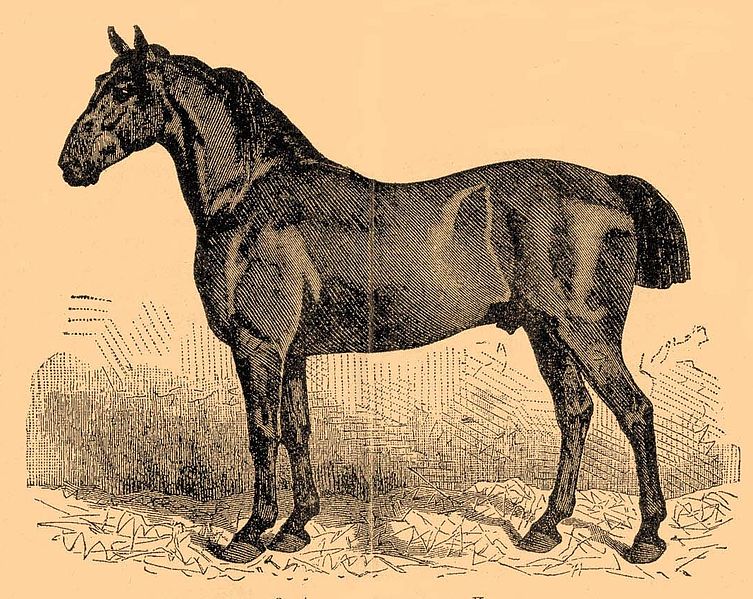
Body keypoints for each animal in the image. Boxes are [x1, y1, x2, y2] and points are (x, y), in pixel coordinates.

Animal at [58, 26, 690, 565]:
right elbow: (297, 429)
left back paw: (646, 538)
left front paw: (251, 533)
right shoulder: (290, 352)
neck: (250, 195)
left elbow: (263, 433)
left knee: (634, 412)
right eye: (98, 83)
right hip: (549, 334)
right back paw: (546, 527)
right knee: (576, 414)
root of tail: (610, 185)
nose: (70, 163)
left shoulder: (258, 346)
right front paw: (295, 527)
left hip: (587, 333)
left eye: (122, 88)